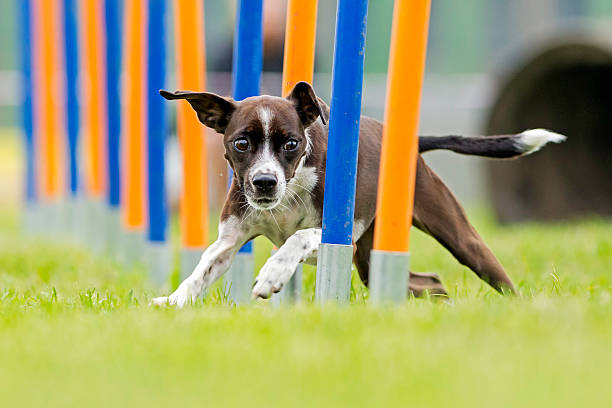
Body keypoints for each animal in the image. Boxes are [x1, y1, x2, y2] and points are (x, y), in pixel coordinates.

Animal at [152, 82, 564, 306]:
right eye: (241, 143)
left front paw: (272, 274)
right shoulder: (230, 238)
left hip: (458, 236)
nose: (264, 182)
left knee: (497, 277)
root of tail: (411, 143)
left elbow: (297, 238)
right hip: (369, 258)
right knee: (429, 283)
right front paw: (174, 301)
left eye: (291, 143)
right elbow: (203, 269)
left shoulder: (336, 240)